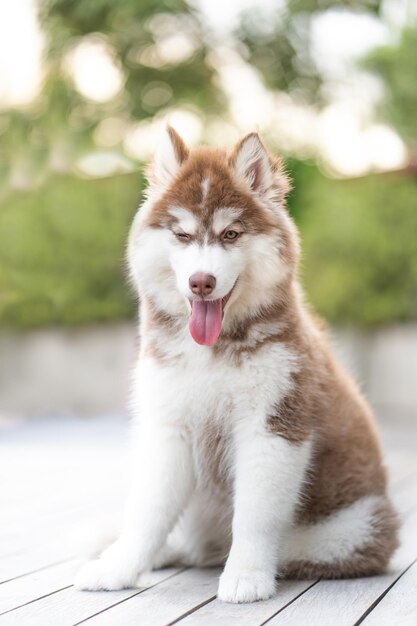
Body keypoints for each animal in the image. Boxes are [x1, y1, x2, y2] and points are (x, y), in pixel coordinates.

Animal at [76, 125, 398, 600]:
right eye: (183, 235)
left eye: (230, 235)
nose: (201, 282)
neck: (211, 352)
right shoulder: (170, 427)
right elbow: (148, 511)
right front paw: (120, 567)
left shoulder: (273, 425)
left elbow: (255, 516)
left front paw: (247, 574)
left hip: (352, 529)